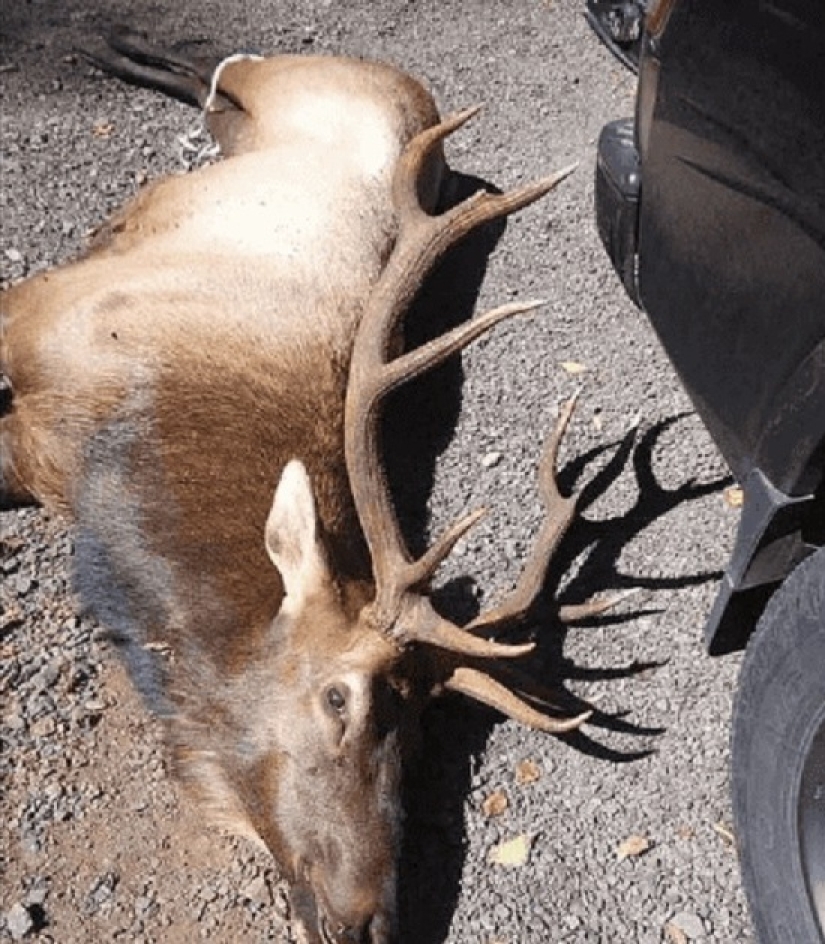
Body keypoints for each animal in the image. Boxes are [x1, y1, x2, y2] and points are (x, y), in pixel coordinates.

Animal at [0, 28, 608, 944]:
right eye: (338, 698)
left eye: (421, 737)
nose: (371, 922)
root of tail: (409, 88)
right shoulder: (29, 313)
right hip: (281, 75)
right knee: (218, 64)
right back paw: (105, 41)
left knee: (205, 83)